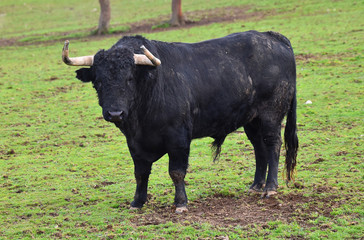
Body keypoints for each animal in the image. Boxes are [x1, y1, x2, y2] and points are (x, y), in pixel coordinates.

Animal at [62, 31, 298, 213]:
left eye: (129, 78)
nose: (115, 113)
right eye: (98, 81)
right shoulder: (135, 144)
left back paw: (270, 188)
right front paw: (137, 202)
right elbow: (140, 173)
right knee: (259, 148)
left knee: (273, 144)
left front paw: (181, 203)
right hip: (251, 120)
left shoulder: (178, 139)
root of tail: (273, 37)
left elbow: (176, 172)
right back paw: (256, 185)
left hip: (271, 115)